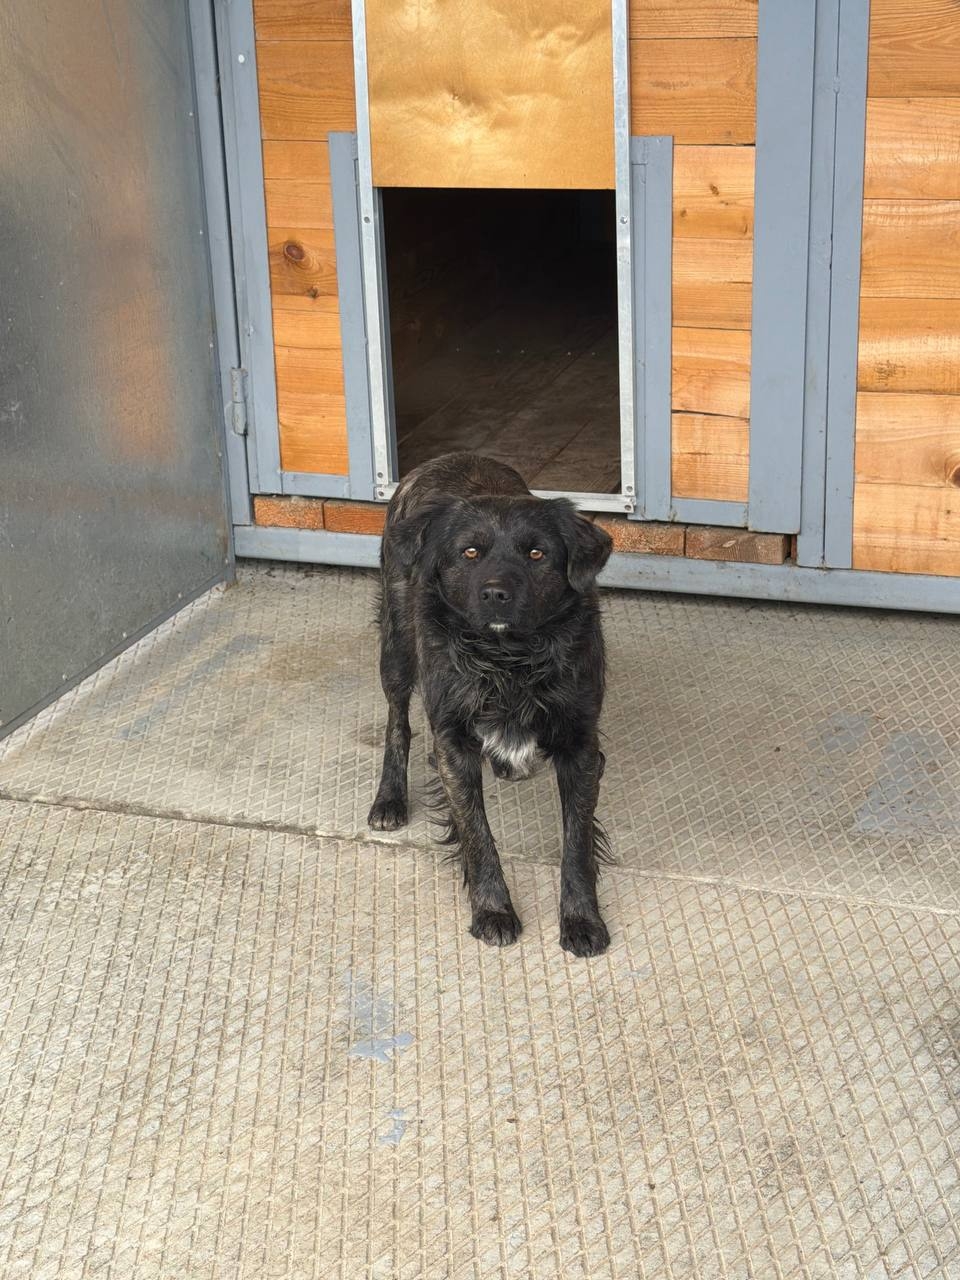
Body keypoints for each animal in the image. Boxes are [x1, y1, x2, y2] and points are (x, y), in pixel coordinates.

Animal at [367, 452, 614, 957]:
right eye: (470, 553)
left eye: (537, 554)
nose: (496, 593)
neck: (510, 661)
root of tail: (446, 458)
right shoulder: (455, 742)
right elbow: (477, 833)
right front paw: (493, 911)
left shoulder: (580, 743)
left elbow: (576, 840)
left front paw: (582, 919)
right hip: (397, 648)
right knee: (398, 722)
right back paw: (389, 797)